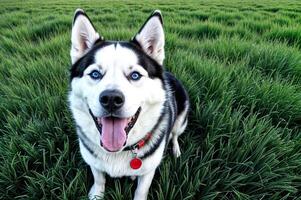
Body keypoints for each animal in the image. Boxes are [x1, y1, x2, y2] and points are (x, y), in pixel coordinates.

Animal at [69, 8, 189, 200]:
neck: (119, 151)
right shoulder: (93, 162)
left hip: (181, 118)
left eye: (135, 75)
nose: (111, 99)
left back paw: (176, 150)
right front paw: (97, 194)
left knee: (175, 135)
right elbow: (99, 178)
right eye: (95, 74)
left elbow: (141, 190)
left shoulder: (148, 171)